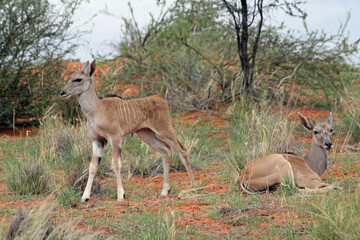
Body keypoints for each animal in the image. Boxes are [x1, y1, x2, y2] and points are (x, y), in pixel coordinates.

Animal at [61, 59, 197, 201]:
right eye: (69, 78)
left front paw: (121, 195)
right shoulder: (97, 140)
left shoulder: (115, 138)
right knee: (165, 150)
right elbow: (93, 166)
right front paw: (85, 197)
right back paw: (165, 190)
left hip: (164, 129)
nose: (63, 93)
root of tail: (160, 98)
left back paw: (193, 185)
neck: (96, 109)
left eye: (78, 79)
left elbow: (116, 164)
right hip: (146, 134)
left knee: (181, 150)